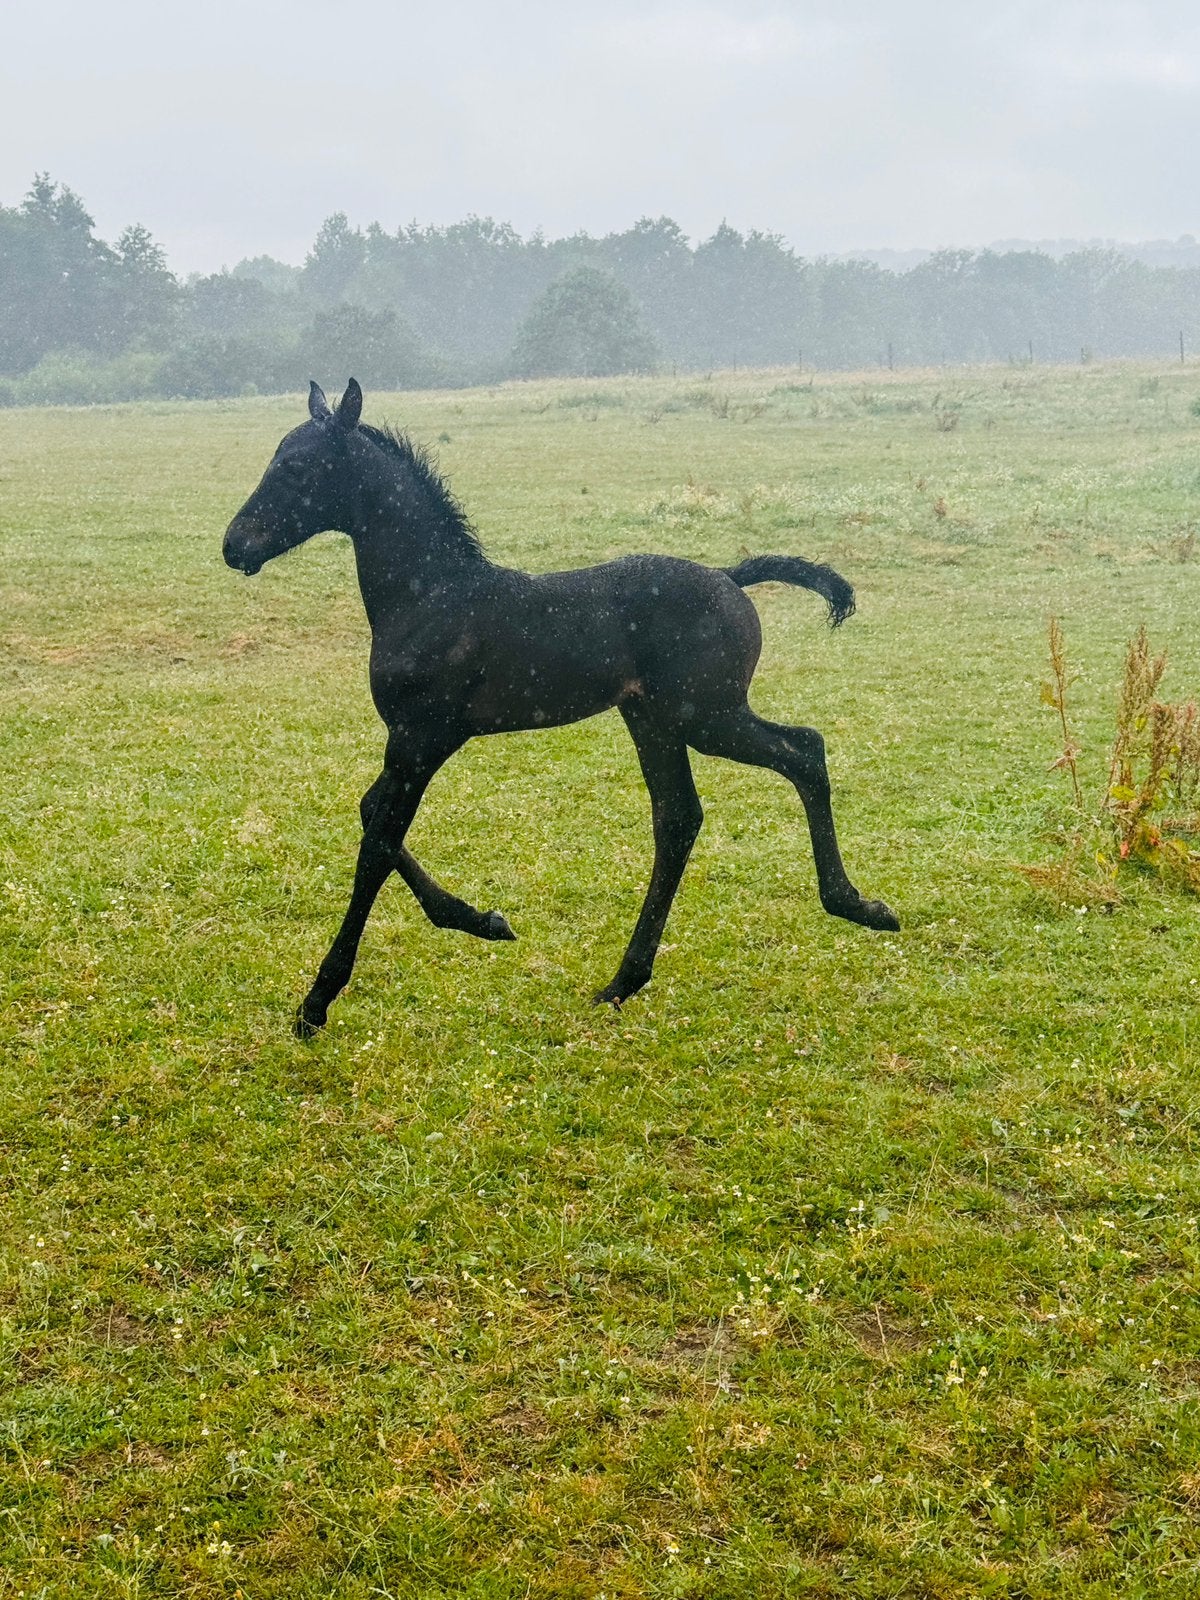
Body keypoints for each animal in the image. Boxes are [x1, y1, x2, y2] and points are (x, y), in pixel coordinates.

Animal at [223, 379, 898, 1036]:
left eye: (296, 467)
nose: (234, 545)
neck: (432, 595)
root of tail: (730, 576)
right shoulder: (415, 741)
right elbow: (372, 817)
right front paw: (481, 920)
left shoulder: (422, 735)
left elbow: (380, 842)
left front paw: (317, 1001)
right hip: (654, 718)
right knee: (679, 816)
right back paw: (623, 981)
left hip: (706, 716)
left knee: (803, 749)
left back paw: (858, 905)